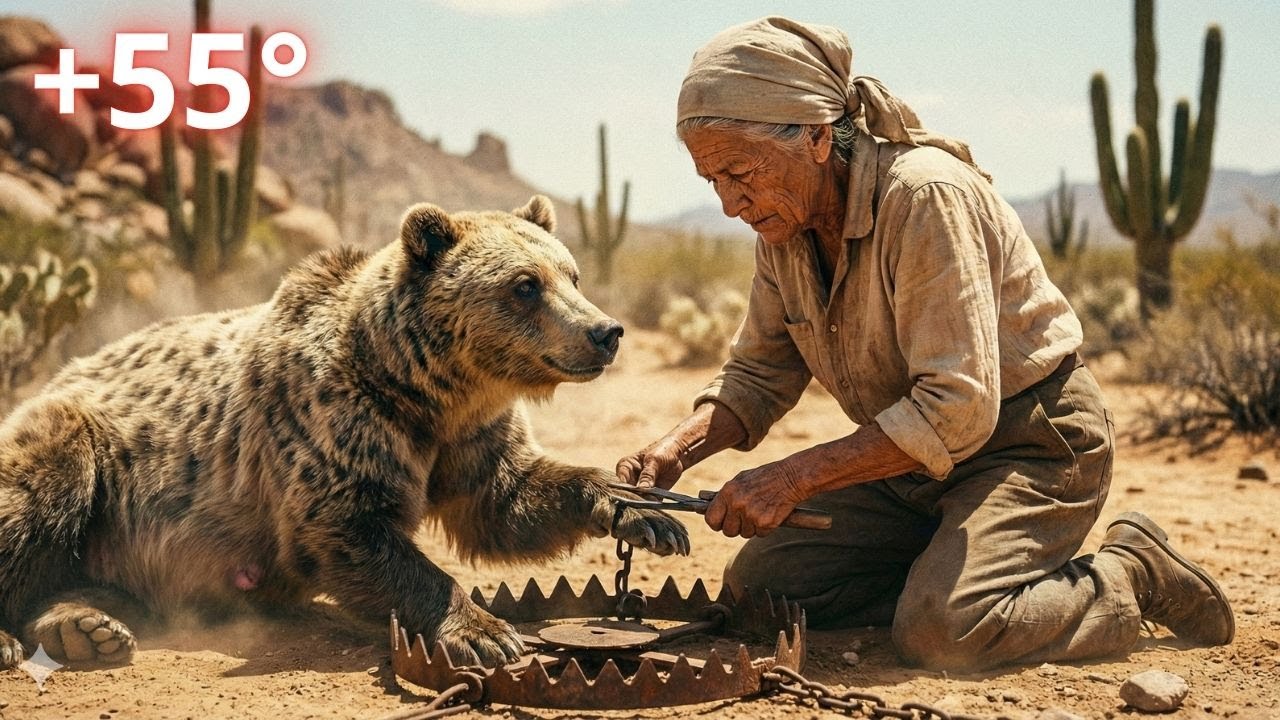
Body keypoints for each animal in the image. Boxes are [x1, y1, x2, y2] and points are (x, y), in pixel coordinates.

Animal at [0, 195, 688, 669]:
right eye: (525, 285)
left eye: (571, 274)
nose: (605, 331)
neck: (426, 390)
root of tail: (59, 371)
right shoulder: (338, 422)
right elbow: (351, 527)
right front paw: (485, 632)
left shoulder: (470, 437)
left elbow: (507, 501)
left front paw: (644, 512)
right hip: (86, 447)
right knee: (38, 497)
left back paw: (85, 627)